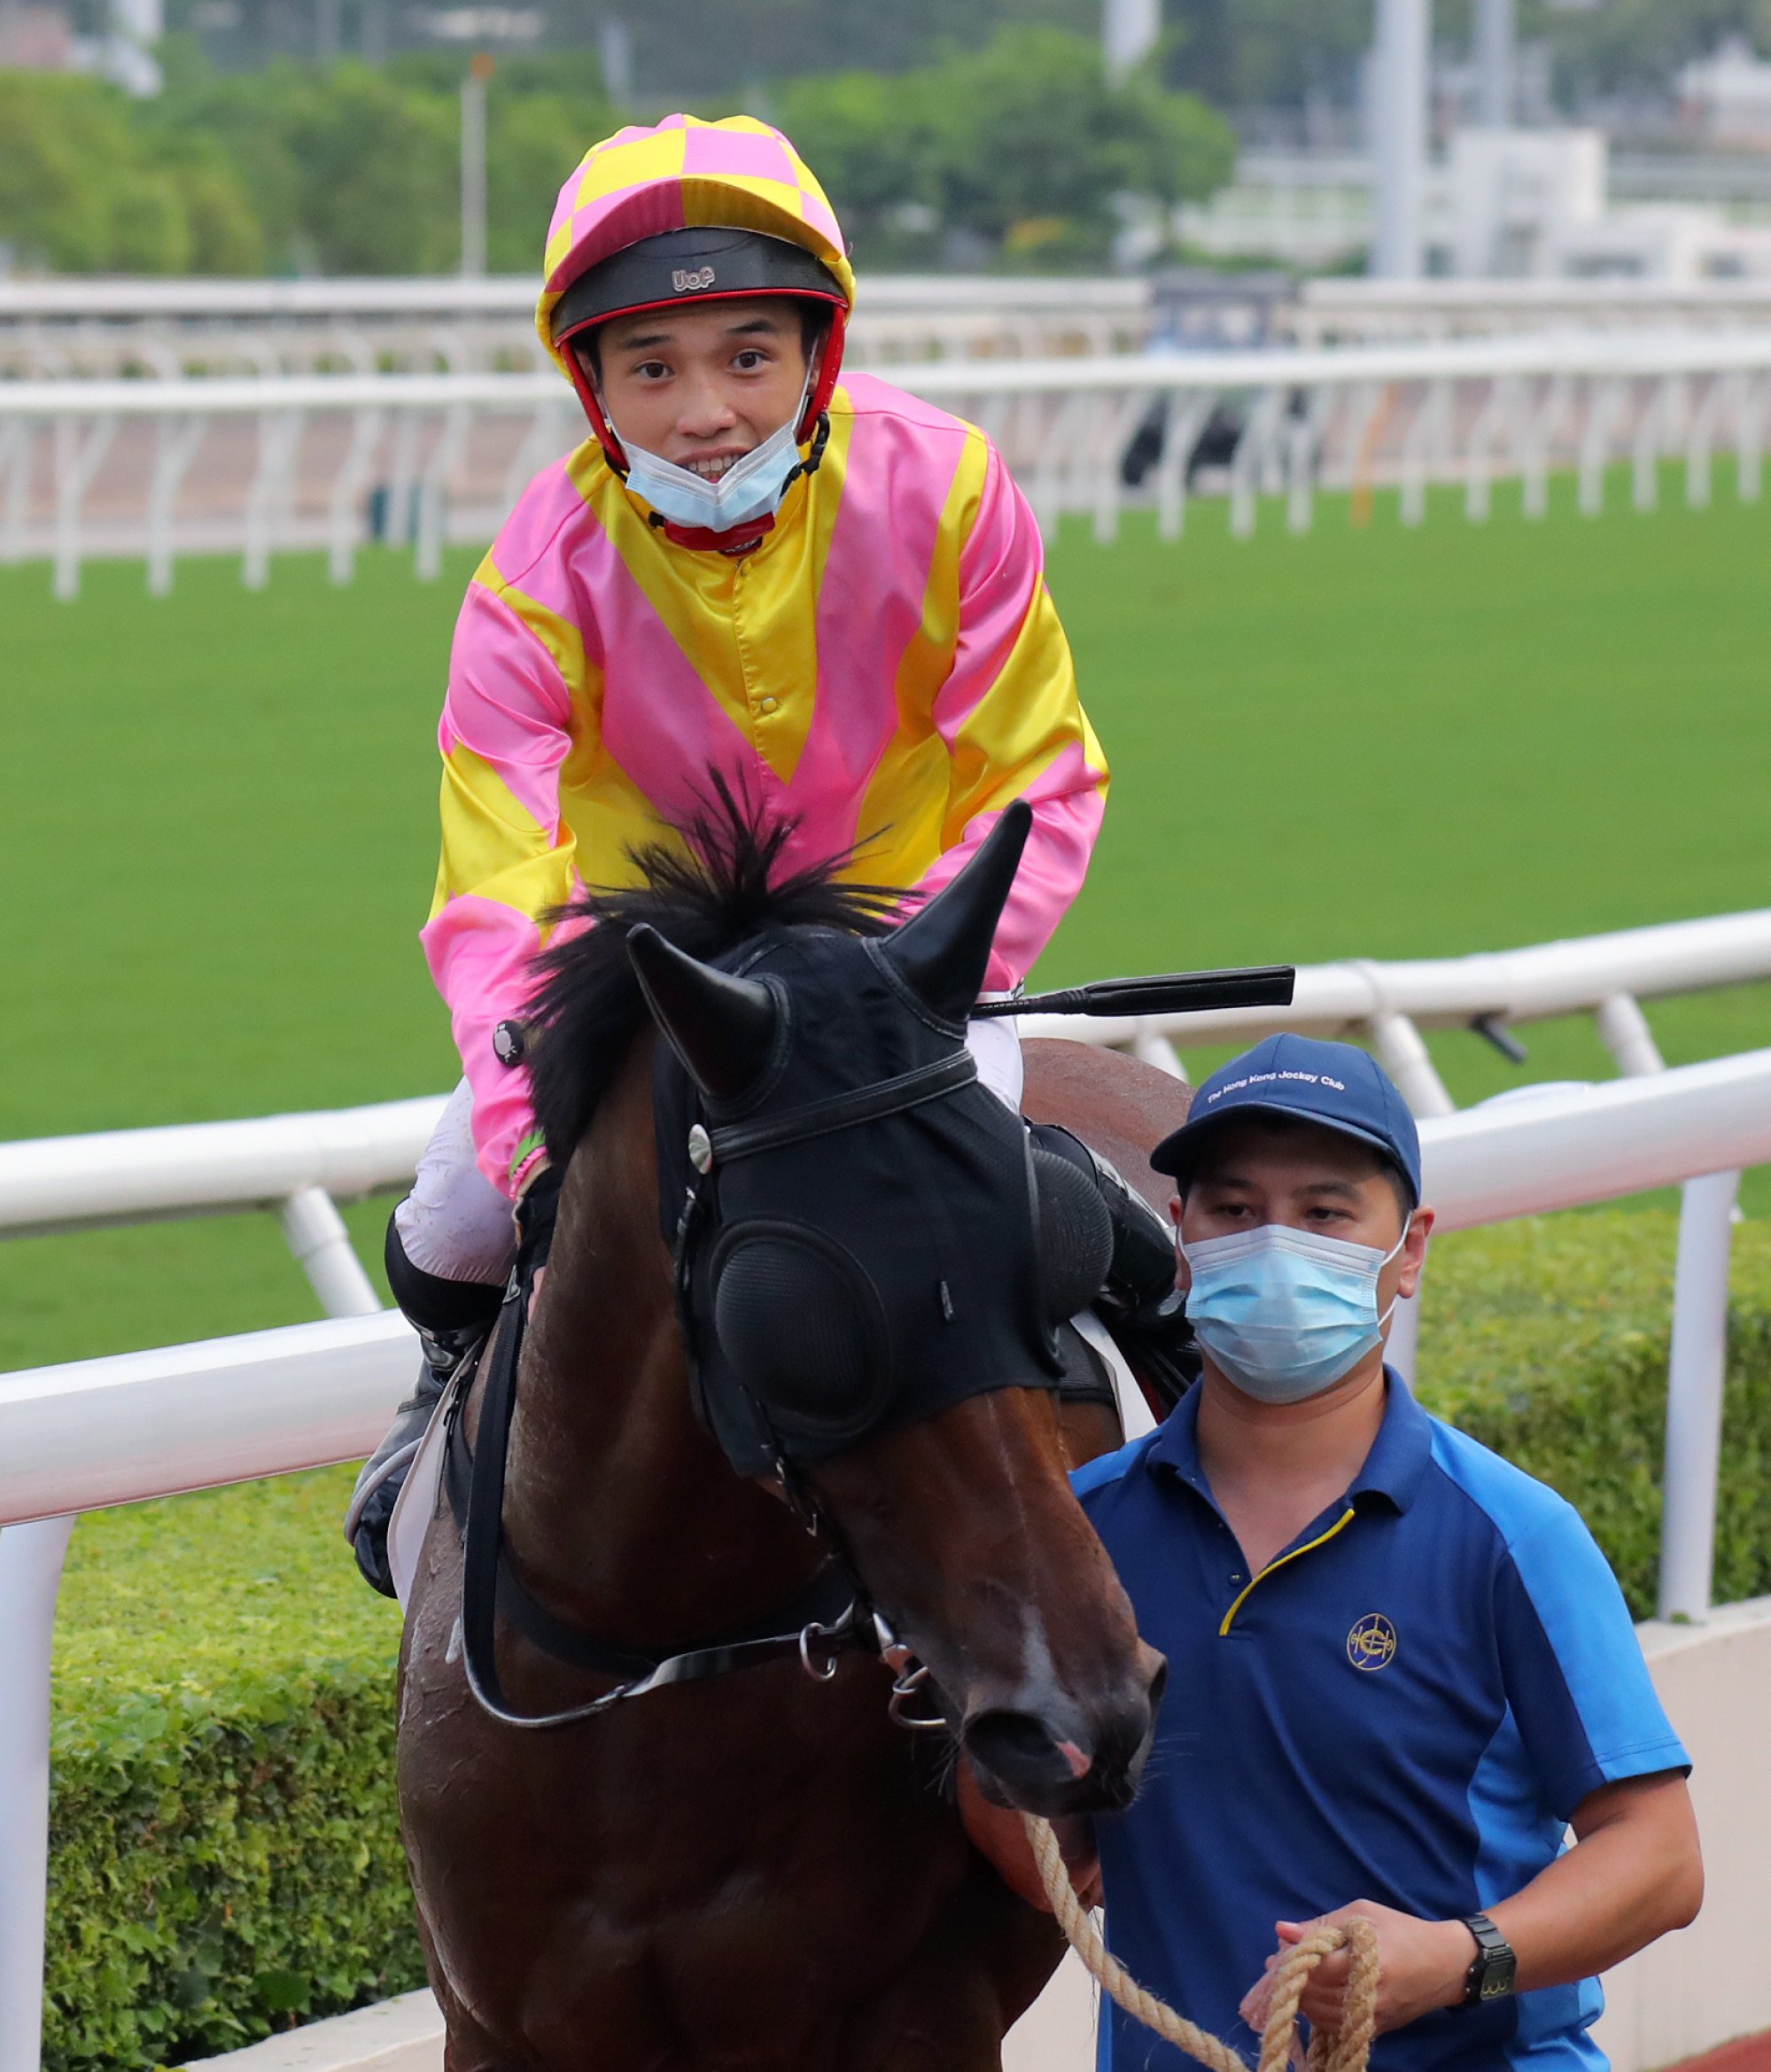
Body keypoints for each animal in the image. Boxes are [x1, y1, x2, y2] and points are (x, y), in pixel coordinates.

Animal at [391, 795, 1192, 2072]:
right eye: (802, 1311)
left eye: (1044, 1243)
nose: (1082, 1715)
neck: (657, 1662)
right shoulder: (496, 2021)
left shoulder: (918, 2009)